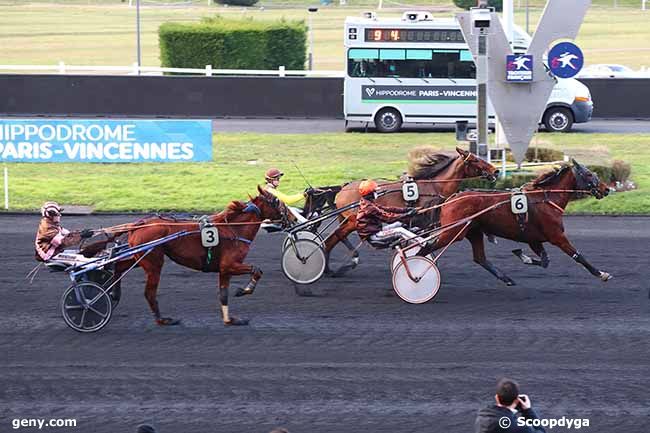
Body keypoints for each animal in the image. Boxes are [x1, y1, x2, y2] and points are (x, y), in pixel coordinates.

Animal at [114, 187, 286, 326]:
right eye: (276, 201)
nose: (288, 216)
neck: (234, 229)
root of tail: (137, 225)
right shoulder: (230, 265)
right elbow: (257, 270)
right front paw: (244, 290)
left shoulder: (225, 270)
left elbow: (223, 295)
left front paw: (230, 320)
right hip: (153, 263)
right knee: (149, 293)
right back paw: (162, 320)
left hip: (138, 257)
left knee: (119, 267)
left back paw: (115, 294)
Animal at [322, 147, 496, 272]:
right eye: (475, 159)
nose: (496, 171)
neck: (435, 185)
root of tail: (344, 188)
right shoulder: (425, 222)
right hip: (353, 221)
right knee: (336, 236)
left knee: (333, 238)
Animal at [422, 160, 612, 286]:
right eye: (589, 174)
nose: (606, 189)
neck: (546, 198)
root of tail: (450, 199)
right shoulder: (557, 236)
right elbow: (578, 256)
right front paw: (601, 273)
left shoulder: (534, 239)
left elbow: (544, 261)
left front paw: (522, 255)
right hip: (453, 232)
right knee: (426, 248)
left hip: (473, 231)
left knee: (480, 258)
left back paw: (506, 279)